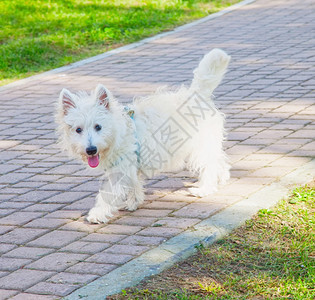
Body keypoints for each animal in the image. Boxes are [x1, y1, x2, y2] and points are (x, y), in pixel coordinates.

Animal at [55, 48, 231, 223]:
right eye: (78, 129)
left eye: (98, 126)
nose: (90, 149)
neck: (118, 131)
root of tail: (198, 94)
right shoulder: (130, 166)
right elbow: (134, 184)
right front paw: (134, 202)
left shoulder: (121, 169)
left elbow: (108, 193)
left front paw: (97, 214)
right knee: (219, 161)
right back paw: (221, 179)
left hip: (201, 146)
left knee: (210, 164)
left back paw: (205, 189)